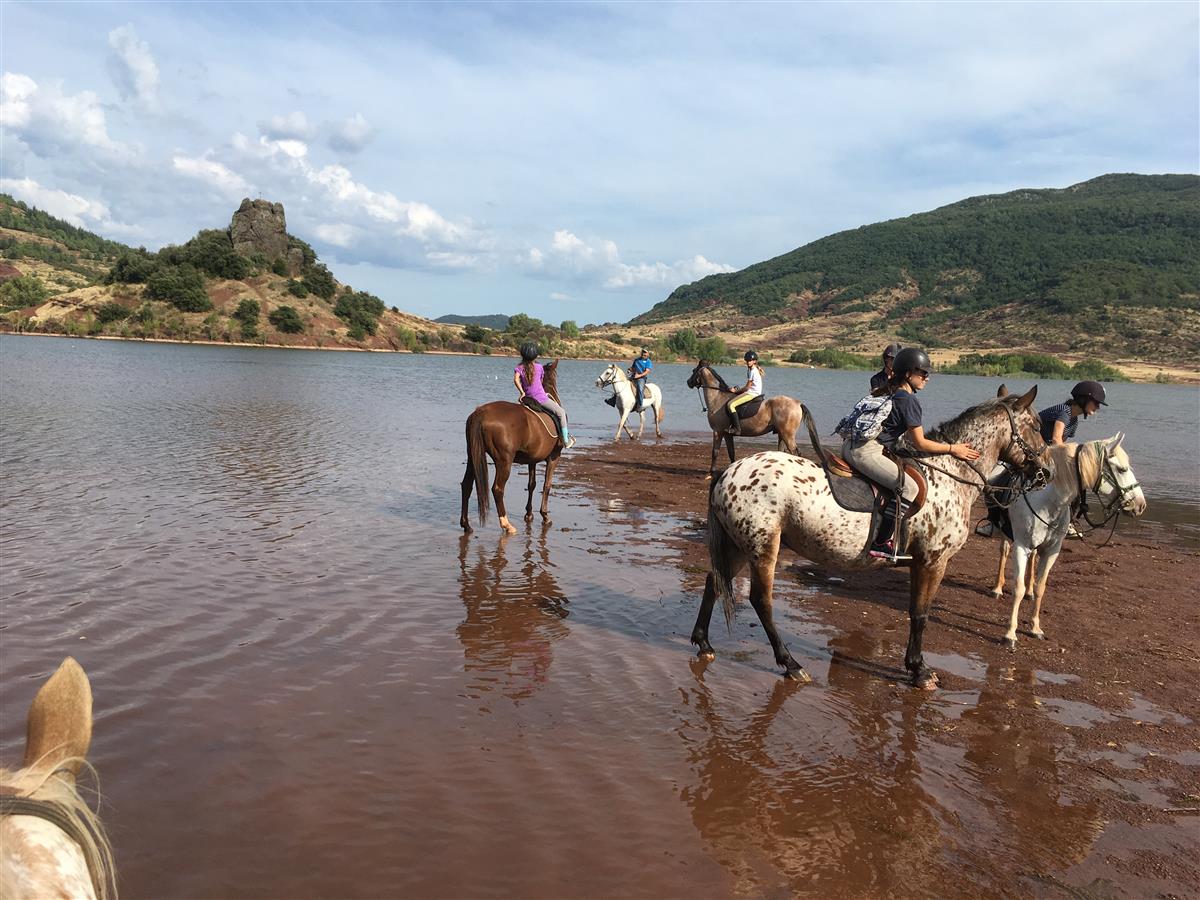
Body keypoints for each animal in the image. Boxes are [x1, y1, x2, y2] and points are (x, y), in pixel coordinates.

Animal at [461, 359, 565, 535]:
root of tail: (480, 412)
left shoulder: (532, 460)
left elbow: (532, 485)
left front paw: (529, 514)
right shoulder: (554, 457)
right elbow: (547, 485)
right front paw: (544, 516)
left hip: (472, 456)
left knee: (466, 485)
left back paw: (466, 525)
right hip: (504, 461)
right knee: (497, 489)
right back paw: (506, 524)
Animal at [692, 386, 1049, 689]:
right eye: (1035, 425)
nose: (1045, 472)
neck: (950, 475)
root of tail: (729, 472)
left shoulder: (923, 563)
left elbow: (915, 611)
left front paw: (915, 667)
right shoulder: (932, 561)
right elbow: (920, 614)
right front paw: (920, 671)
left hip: (739, 546)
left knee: (714, 581)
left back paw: (703, 642)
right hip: (762, 546)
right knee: (761, 600)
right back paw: (791, 664)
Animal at [990, 434, 1145, 649]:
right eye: (1122, 469)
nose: (1140, 504)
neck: (1047, 502)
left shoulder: (1051, 551)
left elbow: (1041, 588)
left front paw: (1035, 628)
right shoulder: (1021, 546)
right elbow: (1018, 588)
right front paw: (1010, 634)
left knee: (1033, 561)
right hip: (1006, 534)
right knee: (1003, 552)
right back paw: (997, 588)